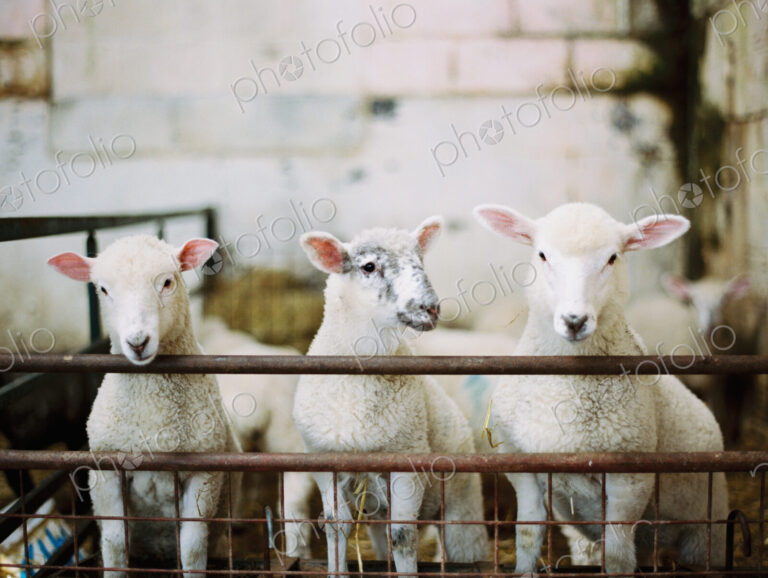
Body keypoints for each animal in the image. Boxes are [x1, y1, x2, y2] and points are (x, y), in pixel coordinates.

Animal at [48, 235, 242, 578]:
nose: (137, 342)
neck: (152, 416)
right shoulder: (106, 470)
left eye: (167, 282)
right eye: (103, 289)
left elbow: (193, 546)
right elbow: (114, 543)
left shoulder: (205, 472)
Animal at [293, 217, 489, 577]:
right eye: (369, 266)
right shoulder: (322, 460)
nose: (431, 308)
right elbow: (336, 527)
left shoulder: (407, 461)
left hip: (461, 503)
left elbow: (403, 535)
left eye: (421, 260)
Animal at [473, 203, 728, 574]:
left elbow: (618, 555)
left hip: (707, 527)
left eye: (612, 258)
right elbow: (527, 535)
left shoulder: (630, 480)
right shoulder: (521, 466)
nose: (574, 320)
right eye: (543, 255)